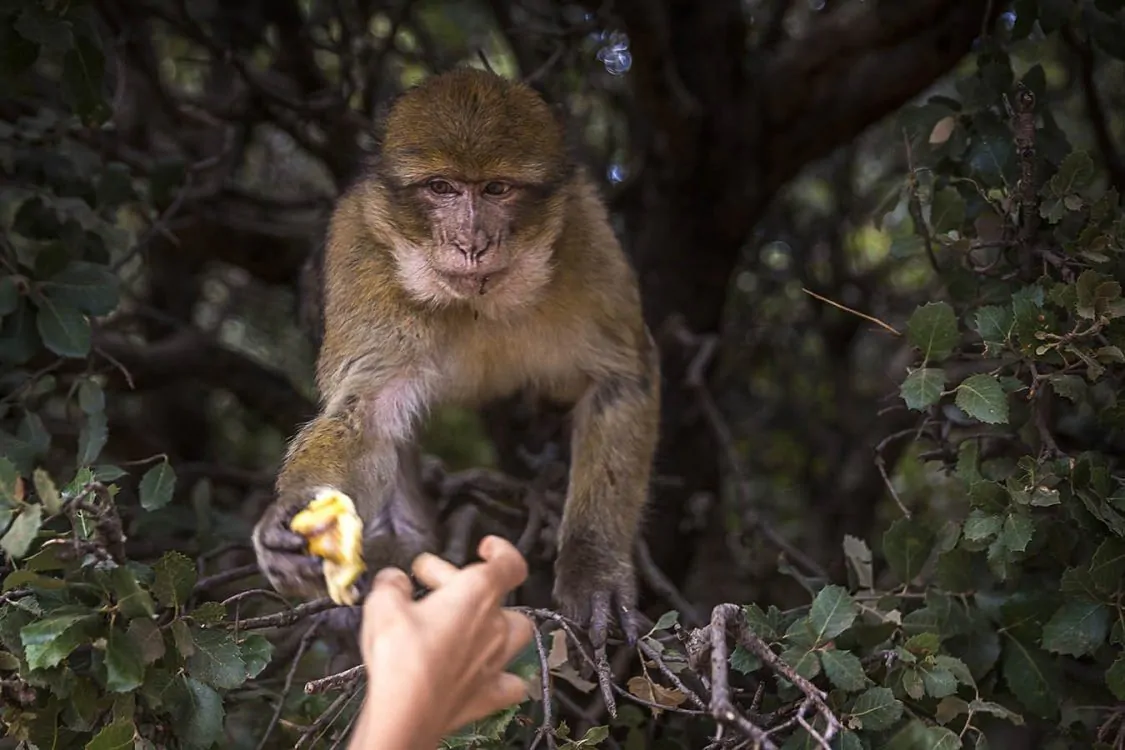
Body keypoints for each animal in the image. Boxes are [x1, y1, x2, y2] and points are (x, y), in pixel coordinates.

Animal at [254, 66, 657, 652]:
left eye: (496, 189)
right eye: (441, 188)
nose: (471, 243)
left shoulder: (587, 244)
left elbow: (620, 380)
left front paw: (593, 566)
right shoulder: (362, 251)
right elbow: (367, 413)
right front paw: (293, 522)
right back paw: (404, 544)